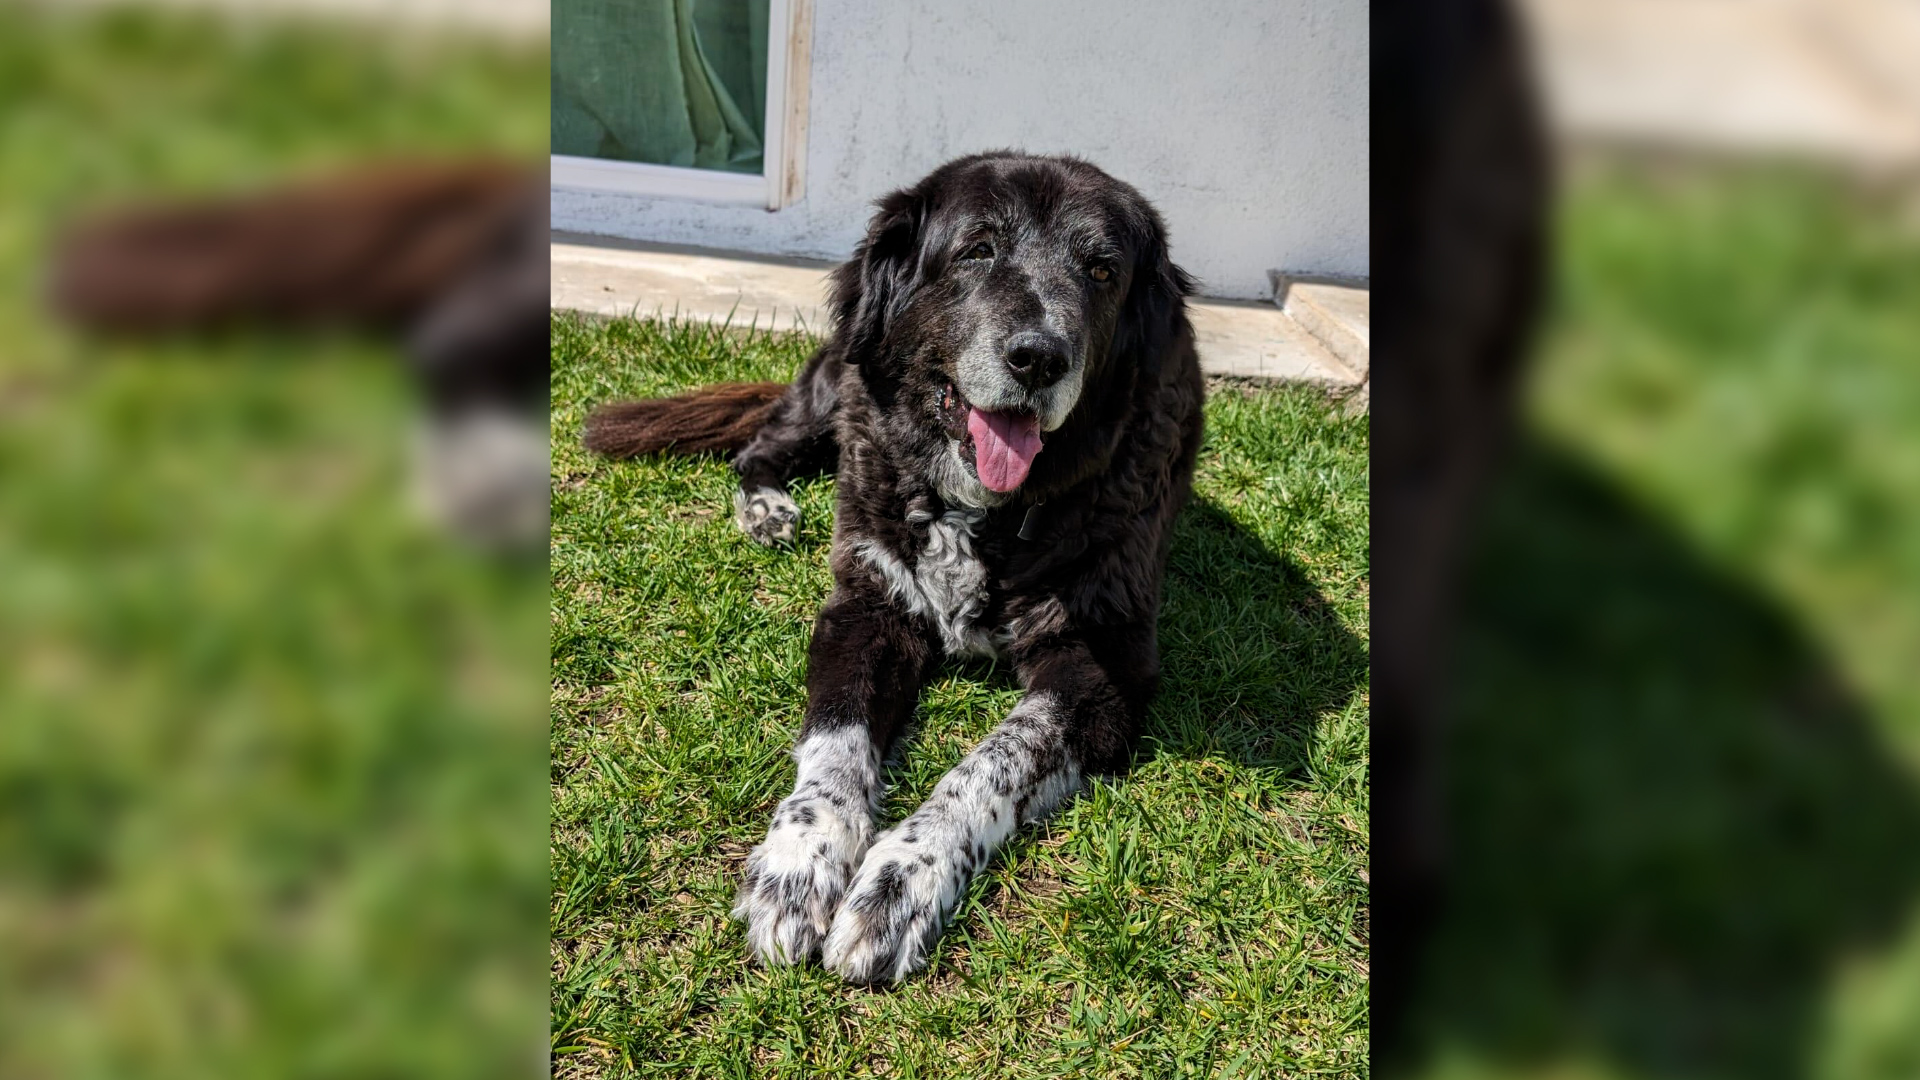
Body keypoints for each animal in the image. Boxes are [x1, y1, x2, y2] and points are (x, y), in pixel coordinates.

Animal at [579, 151, 1198, 983]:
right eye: (977, 251)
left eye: (1102, 270)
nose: (1040, 358)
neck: (981, 514)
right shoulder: (867, 606)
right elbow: (836, 741)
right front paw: (800, 862)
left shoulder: (1101, 667)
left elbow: (989, 763)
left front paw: (900, 881)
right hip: (835, 387)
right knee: (761, 446)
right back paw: (767, 508)